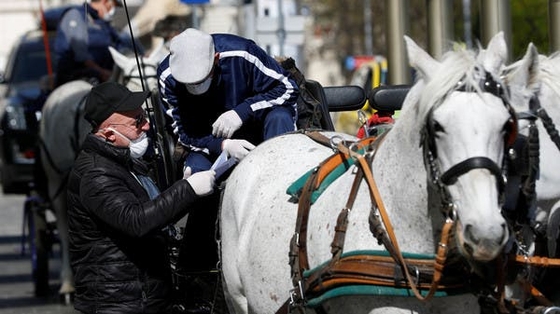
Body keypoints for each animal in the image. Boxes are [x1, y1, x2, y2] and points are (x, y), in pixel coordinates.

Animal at [37, 44, 166, 302]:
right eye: (131, 83)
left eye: (155, 88)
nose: (151, 127)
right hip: (55, 179)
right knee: (64, 228)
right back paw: (68, 282)